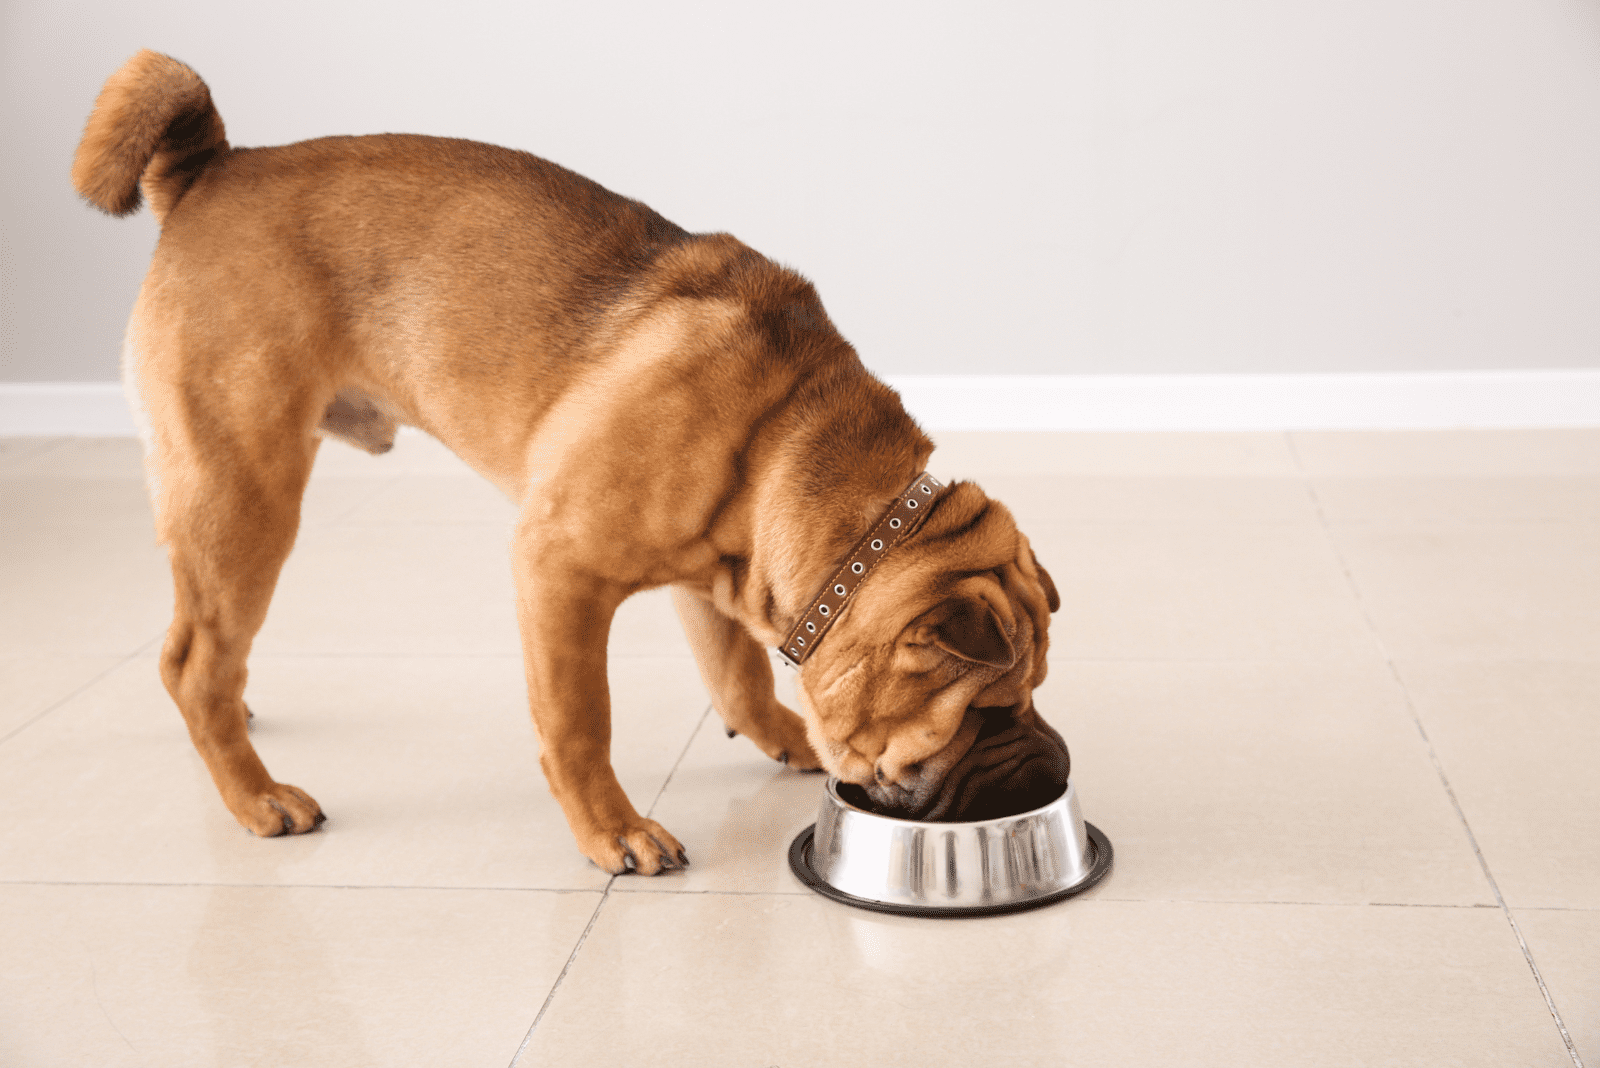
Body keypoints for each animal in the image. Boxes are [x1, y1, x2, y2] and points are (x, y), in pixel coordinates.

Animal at [75, 47, 1075, 876]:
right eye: (987, 713)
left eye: (1036, 693)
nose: (1049, 760)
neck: (792, 439)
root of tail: (211, 168)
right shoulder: (559, 572)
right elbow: (579, 720)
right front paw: (615, 831)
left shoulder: (717, 576)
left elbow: (737, 675)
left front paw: (783, 732)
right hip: (243, 491)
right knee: (192, 659)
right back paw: (257, 795)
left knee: (210, 651)